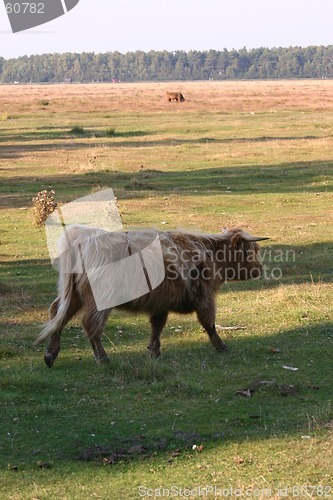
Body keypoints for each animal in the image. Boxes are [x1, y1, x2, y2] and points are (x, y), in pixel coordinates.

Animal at [34, 225, 268, 366]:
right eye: (250, 252)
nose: (261, 268)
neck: (210, 254)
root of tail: (83, 237)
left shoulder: (161, 302)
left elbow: (157, 326)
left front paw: (154, 352)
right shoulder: (205, 297)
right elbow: (209, 323)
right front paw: (221, 346)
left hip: (73, 295)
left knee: (57, 314)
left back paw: (50, 355)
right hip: (98, 299)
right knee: (90, 324)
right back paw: (102, 358)